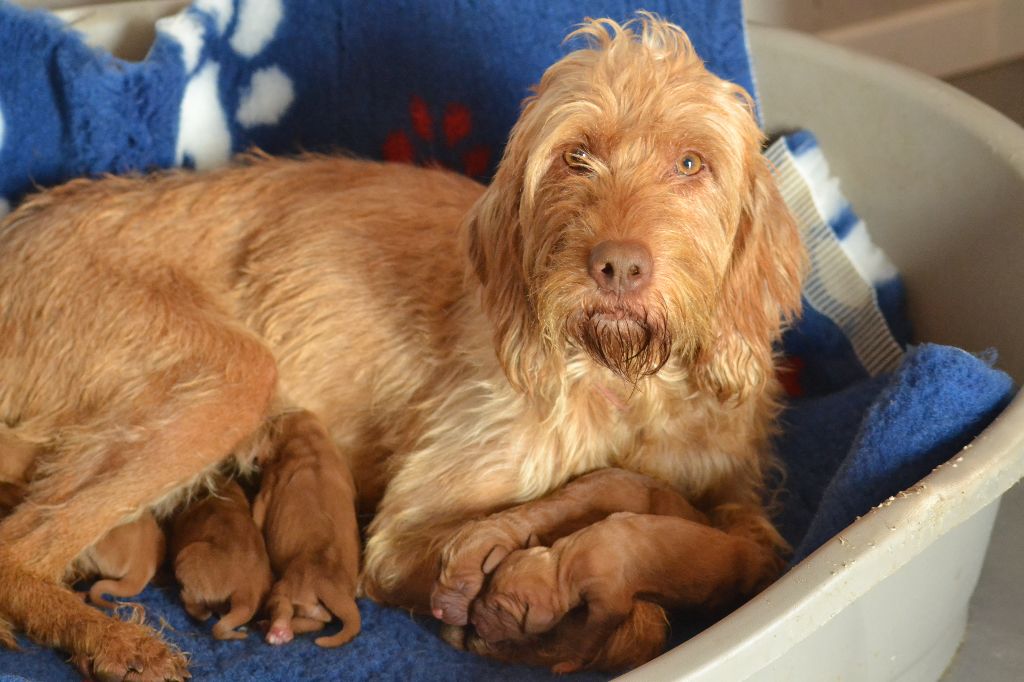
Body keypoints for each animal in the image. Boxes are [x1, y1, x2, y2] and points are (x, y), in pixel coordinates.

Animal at [252, 409, 362, 647]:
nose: (255, 459)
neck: (310, 441)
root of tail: (327, 582)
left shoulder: (267, 488)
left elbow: (257, 514)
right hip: (313, 606)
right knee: (318, 622)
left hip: (285, 588)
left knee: (283, 608)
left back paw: (277, 630)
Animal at [468, 509, 774, 667]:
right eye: (486, 591)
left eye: (500, 610)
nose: (473, 619)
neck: (563, 562)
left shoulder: (608, 602)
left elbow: (589, 635)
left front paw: (568, 664)